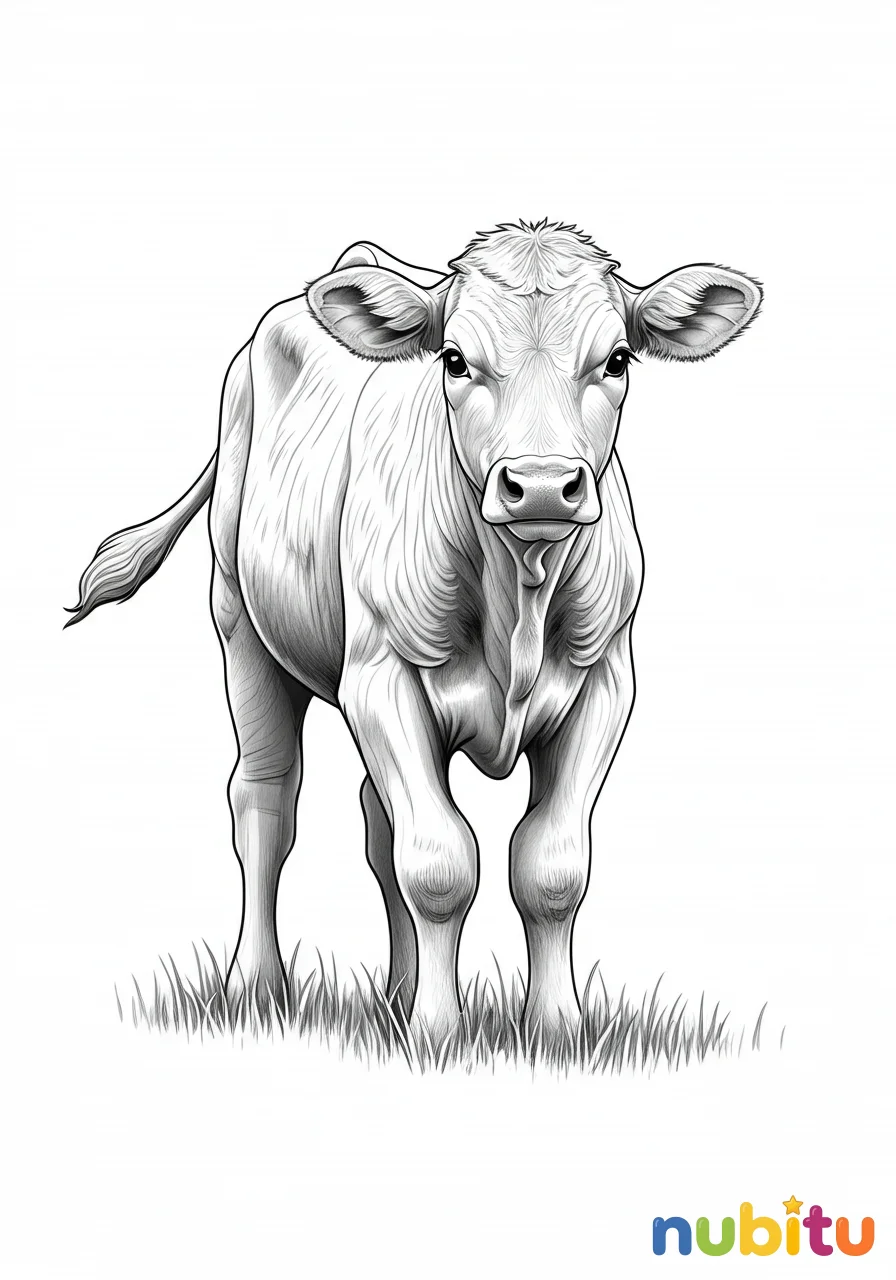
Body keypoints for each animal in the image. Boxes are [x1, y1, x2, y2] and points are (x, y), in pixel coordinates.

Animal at [67, 220, 761, 1040]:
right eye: (455, 359)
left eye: (617, 359)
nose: (541, 487)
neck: (517, 598)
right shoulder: (381, 680)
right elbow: (438, 864)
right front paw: (440, 1033)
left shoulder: (603, 686)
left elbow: (550, 867)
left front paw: (556, 1028)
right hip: (239, 619)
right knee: (265, 802)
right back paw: (257, 986)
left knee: (377, 820)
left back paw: (396, 994)